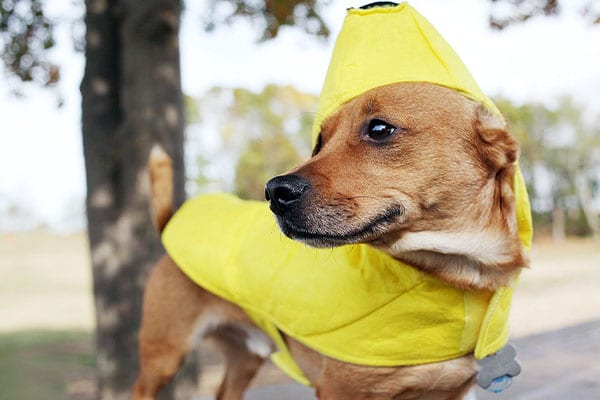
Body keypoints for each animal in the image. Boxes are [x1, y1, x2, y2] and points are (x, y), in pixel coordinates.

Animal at [132, 82, 528, 400]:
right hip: (163, 354)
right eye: (320, 143)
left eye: (380, 129)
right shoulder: (341, 391)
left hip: (245, 356)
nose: (274, 192)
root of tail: (170, 223)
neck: (455, 274)